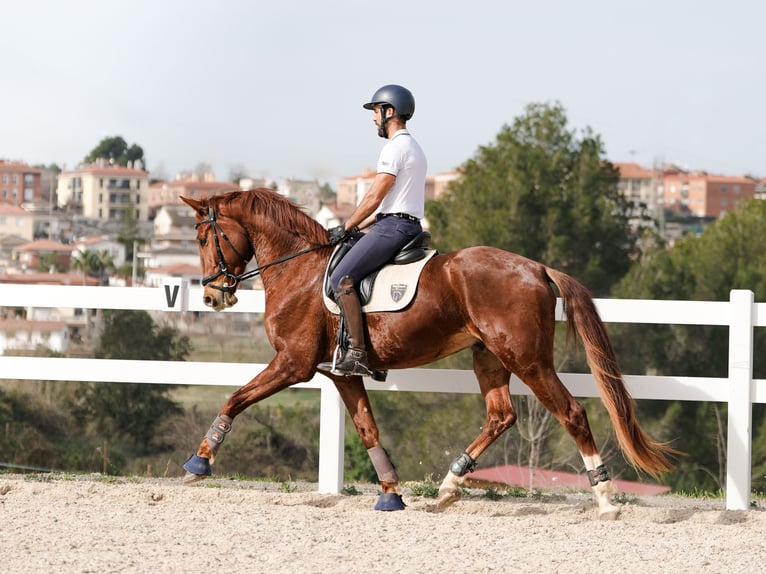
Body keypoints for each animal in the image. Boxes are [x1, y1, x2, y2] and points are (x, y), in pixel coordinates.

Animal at [183, 190, 676, 520]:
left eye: (204, 238)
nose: (211, 296)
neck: (299, 268)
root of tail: (537, 267)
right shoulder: (341, 373)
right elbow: (367, 428)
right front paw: (390, 492)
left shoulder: (293, 364)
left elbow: (235, 398)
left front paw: (199, 463)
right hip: (488, 357)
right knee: (501, 415)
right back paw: (449, 486)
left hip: (527, 359)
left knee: (571, 412)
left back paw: (605, 499)